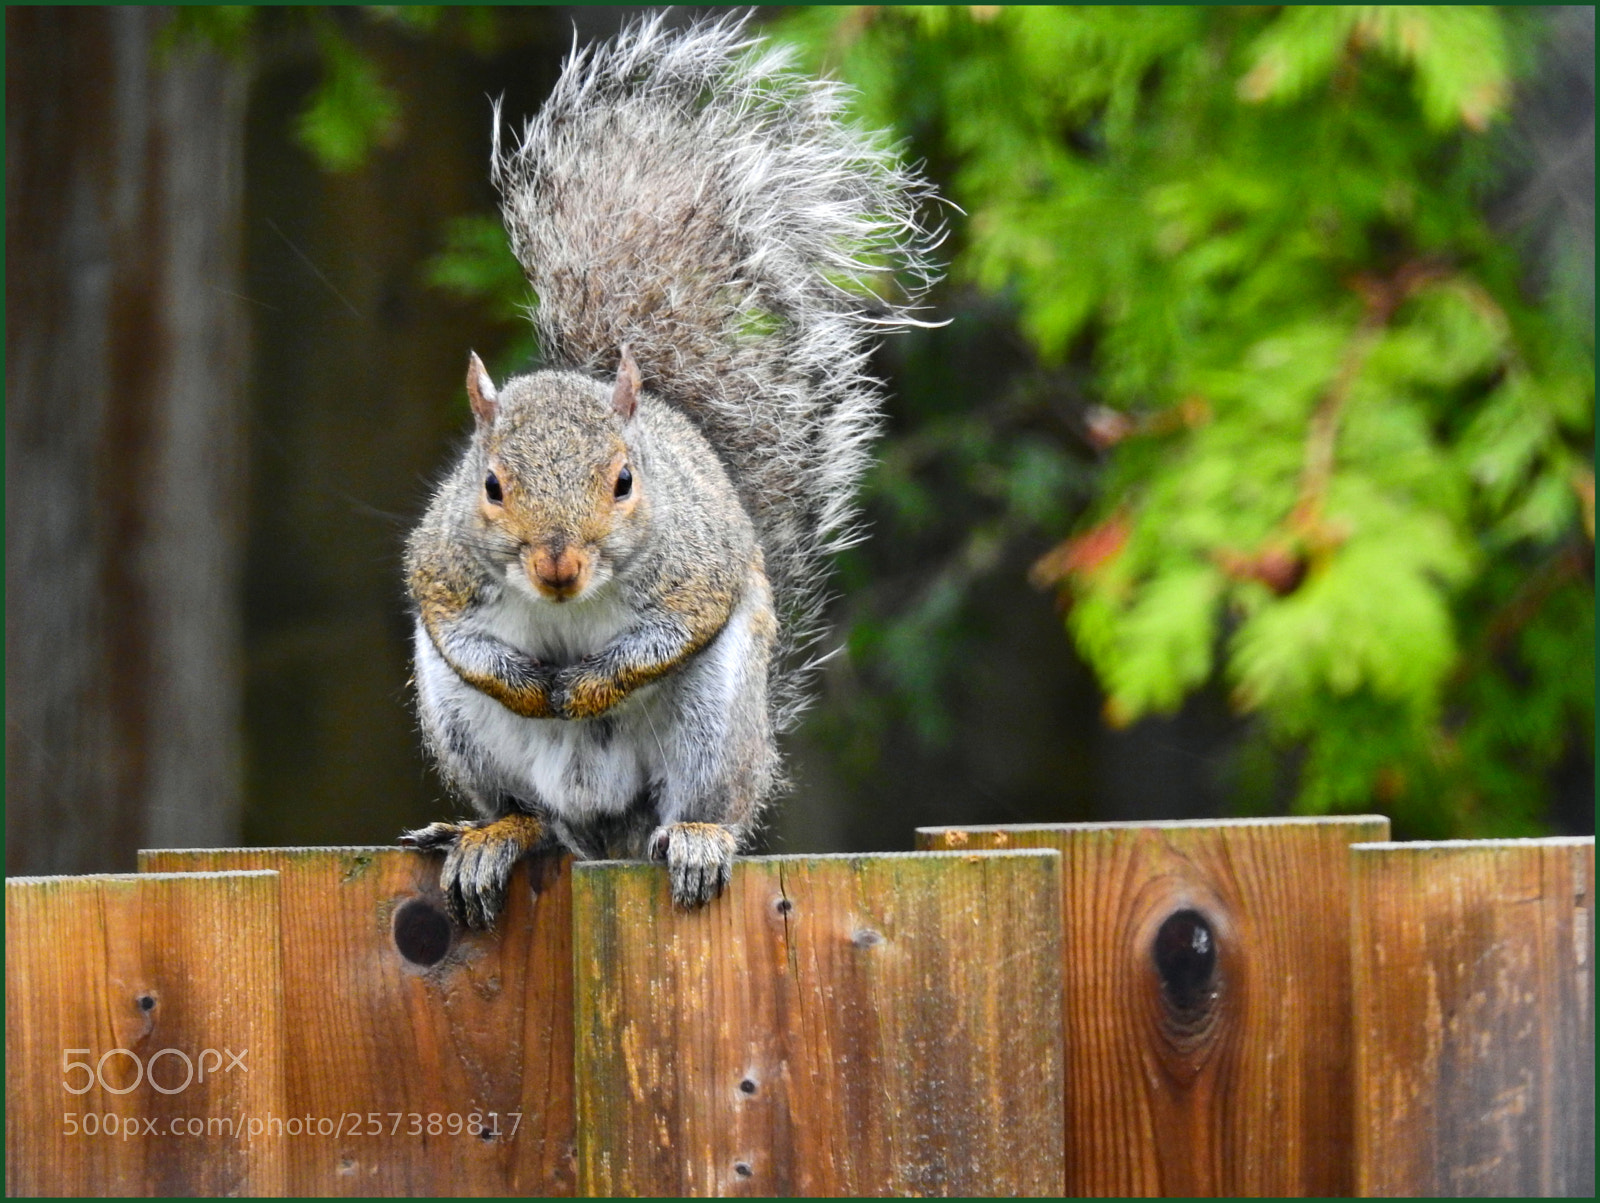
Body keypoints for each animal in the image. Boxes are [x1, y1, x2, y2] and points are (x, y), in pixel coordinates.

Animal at [399, 13, 941, 927]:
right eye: (491, 485)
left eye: (625, 481)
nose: (557, 565)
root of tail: (601, 828)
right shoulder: (440, 566)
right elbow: (456, 632)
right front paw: (529, 686)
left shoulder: (697, 566)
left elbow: (672, 629)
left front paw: (584, 688)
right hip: (464, 732)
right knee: (530, 813)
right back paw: (495, 835)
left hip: (714, 725)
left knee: (700, 804)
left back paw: (695, 838)